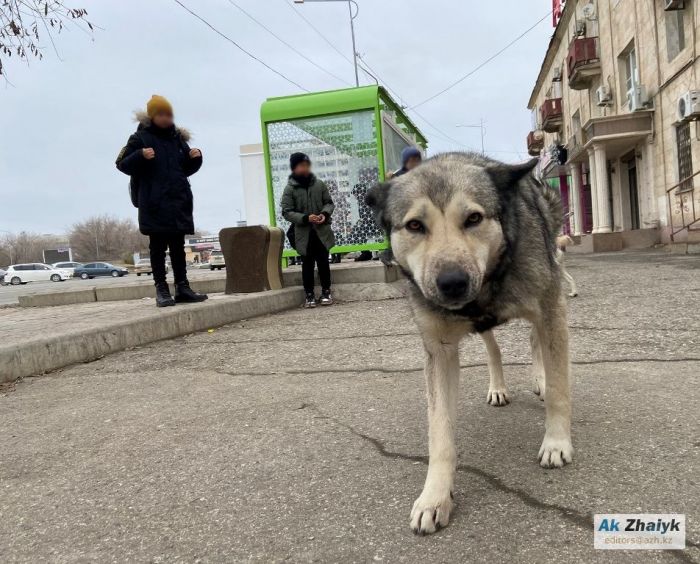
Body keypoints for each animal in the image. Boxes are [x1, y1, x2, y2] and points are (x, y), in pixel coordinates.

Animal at [364, 153, 572, 532]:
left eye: (473, 218)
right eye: (414, 225)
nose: (452, 283)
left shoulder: (551, 309)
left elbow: (560, 389)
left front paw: (556, 440)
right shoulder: (439, 350)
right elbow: (440, 433)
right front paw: (434, 497)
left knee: (535, 339)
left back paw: (541, 379)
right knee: (494, 347)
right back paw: (498, 386)